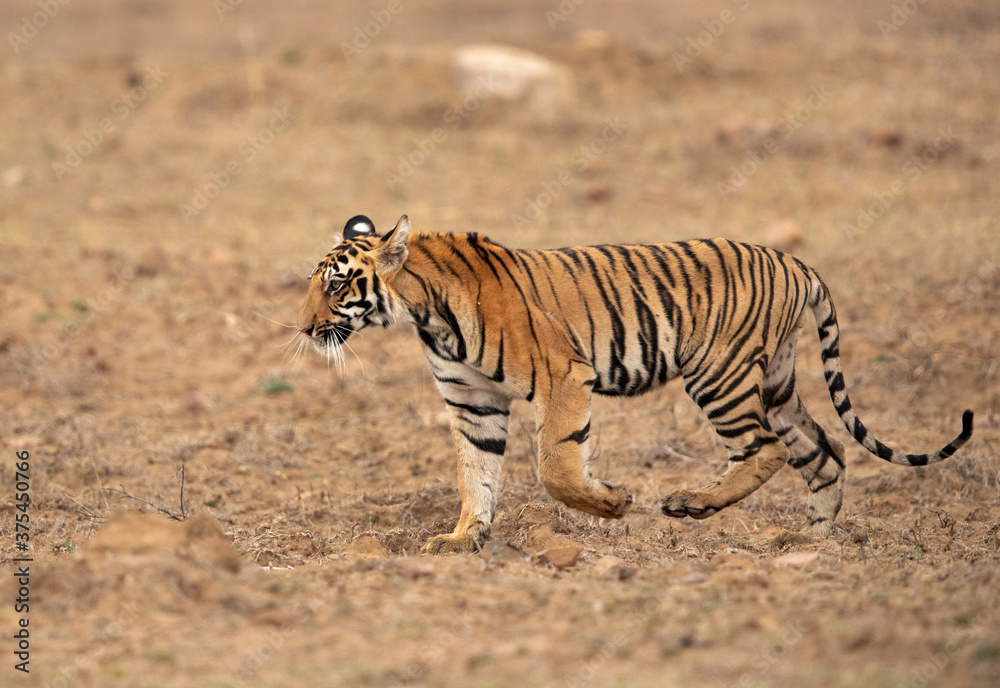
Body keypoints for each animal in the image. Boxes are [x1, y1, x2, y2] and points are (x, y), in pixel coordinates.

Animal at [296, 214, 974, 554]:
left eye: (337, 284)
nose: (303, 328)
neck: (426, 313)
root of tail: (794, 261)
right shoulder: (472, 403)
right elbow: (475, 472)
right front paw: (464, 536)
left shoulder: (564, 378)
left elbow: (556, 467)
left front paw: (614, 504)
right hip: (778, 383)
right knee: (823, 453)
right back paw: (804, 541)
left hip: (720, 375)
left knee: (767, 449)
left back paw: (692, 504)